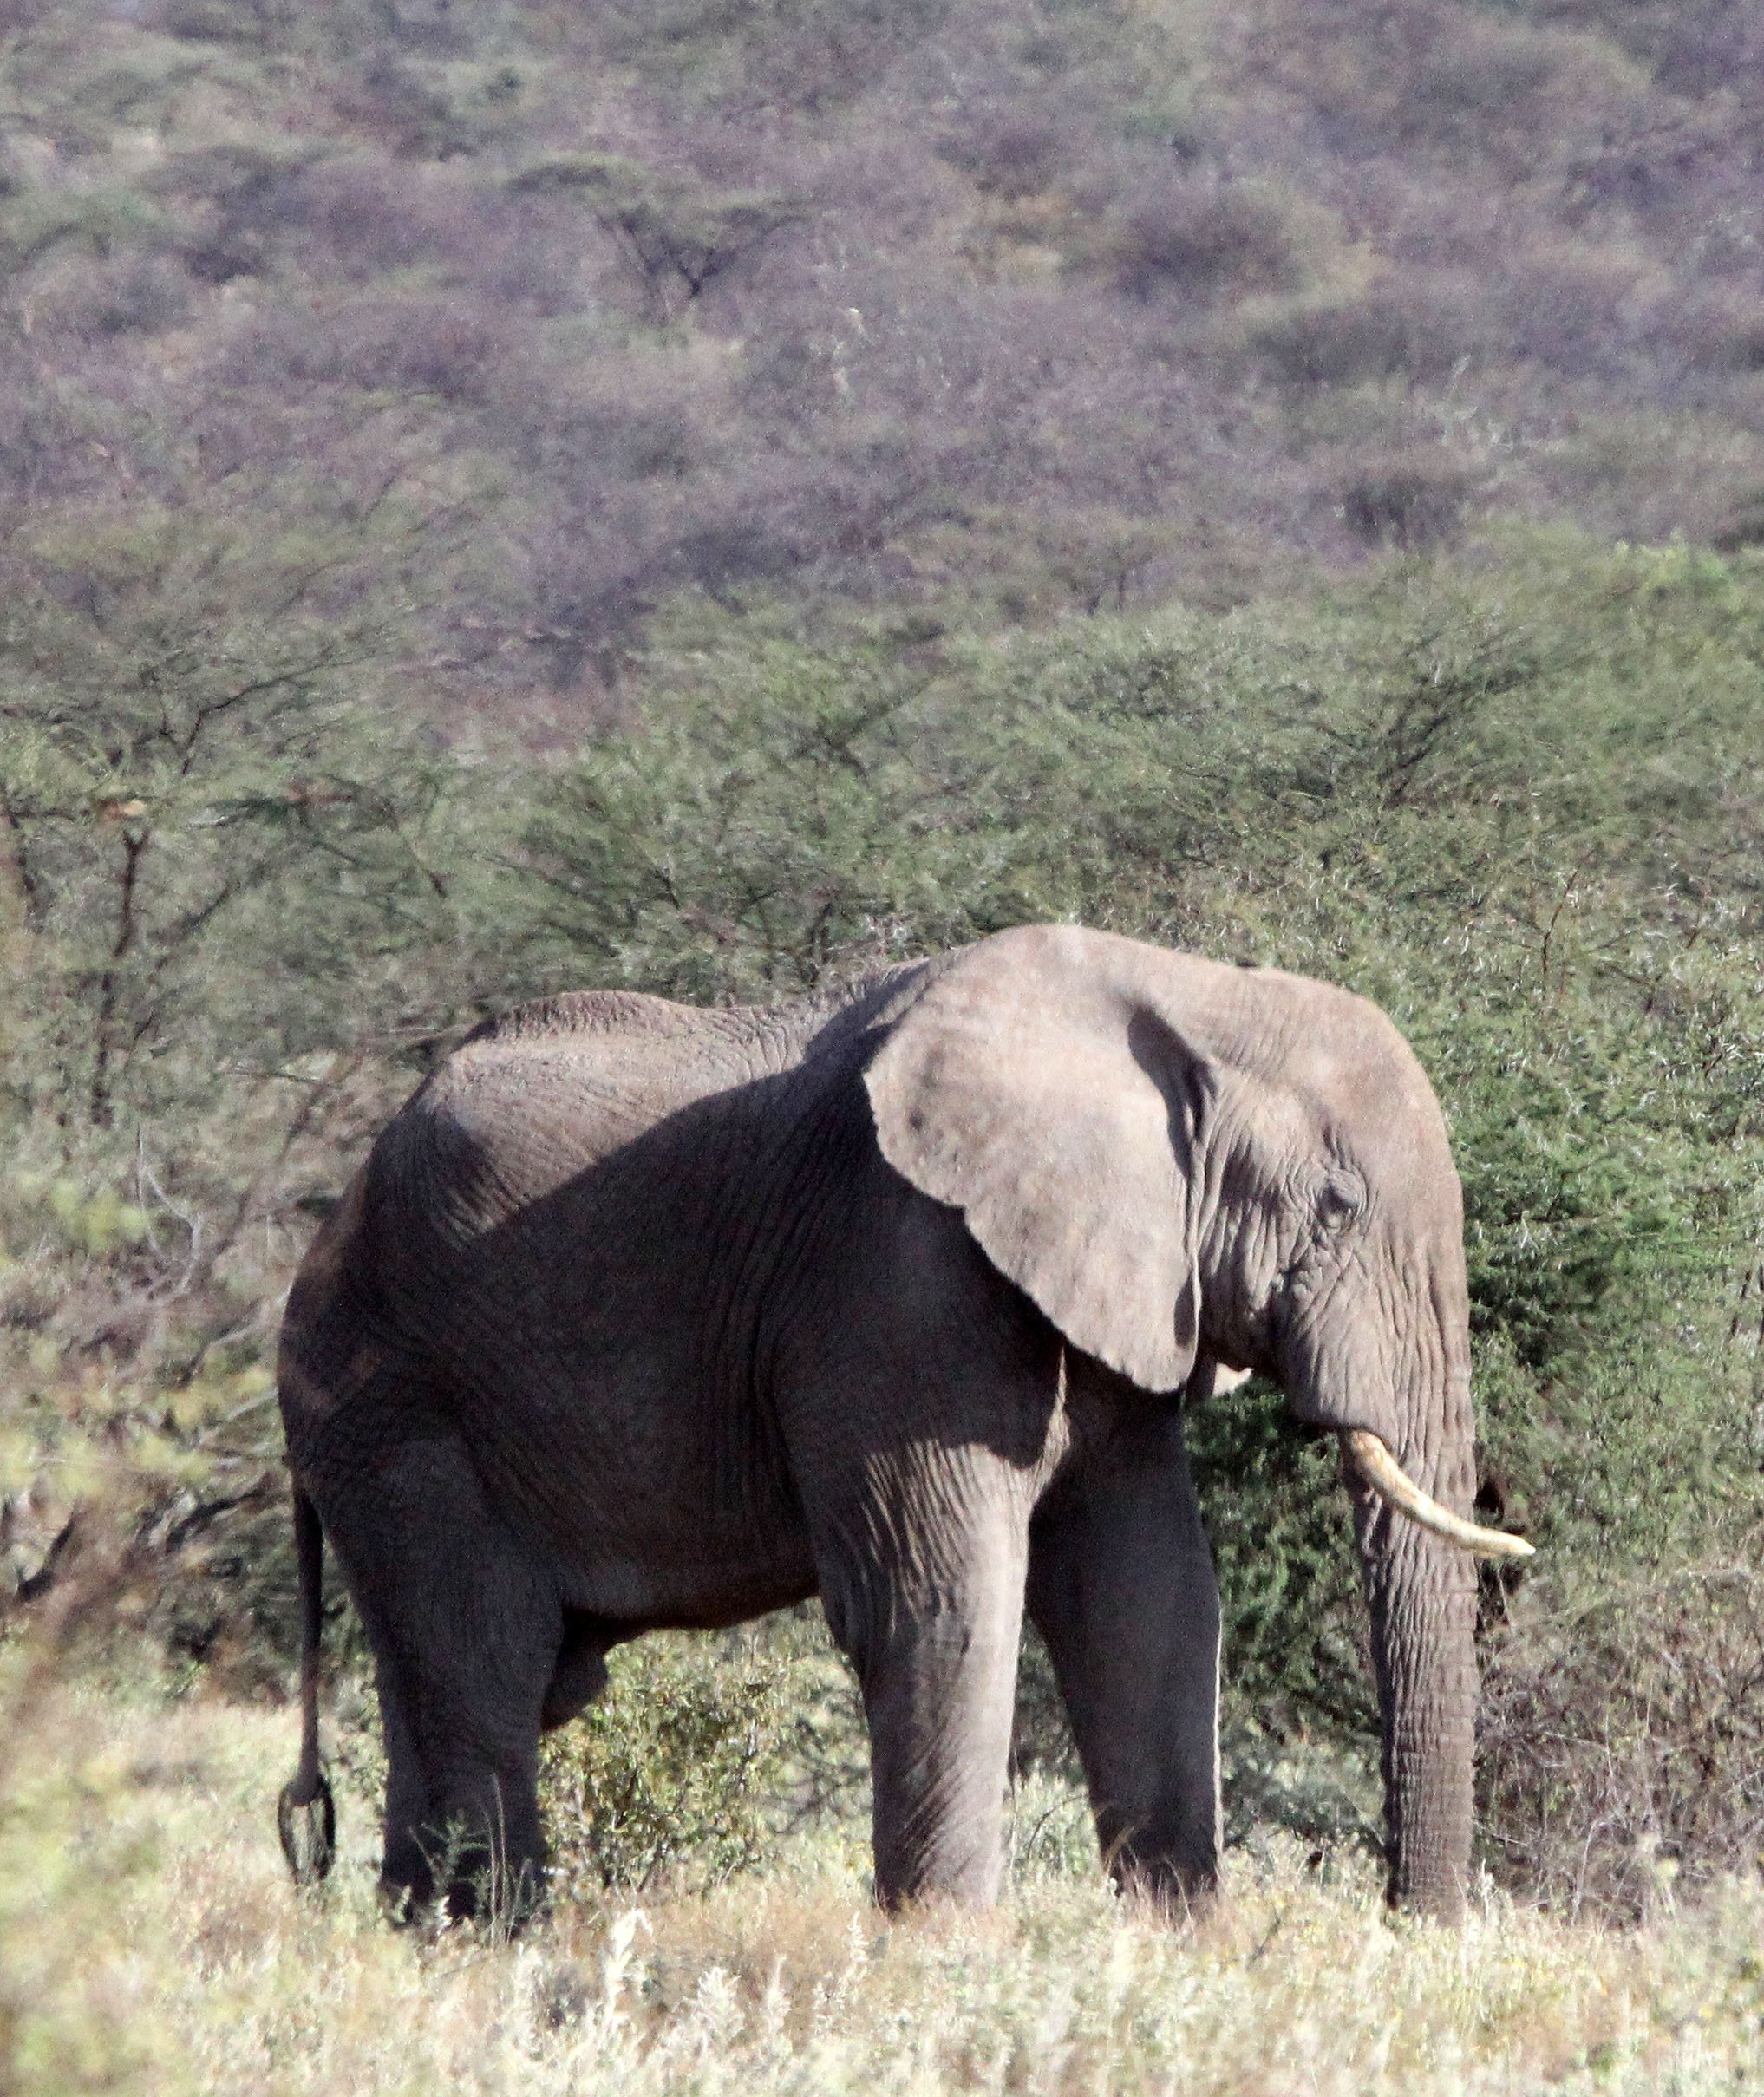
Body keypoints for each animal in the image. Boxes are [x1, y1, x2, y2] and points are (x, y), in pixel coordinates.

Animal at [276, 923, 1530, 1925]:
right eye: (1338, 1207)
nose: (1409, 1930)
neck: (1185, 990)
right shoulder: (897, 1274)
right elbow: (938, 1597)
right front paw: (945, 1958)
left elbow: (1147, 1600)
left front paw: (1181, 1947)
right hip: (398, 1406)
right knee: (486, 1673)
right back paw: (502, 1948)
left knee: (453, 1688)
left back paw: (416, 1939)